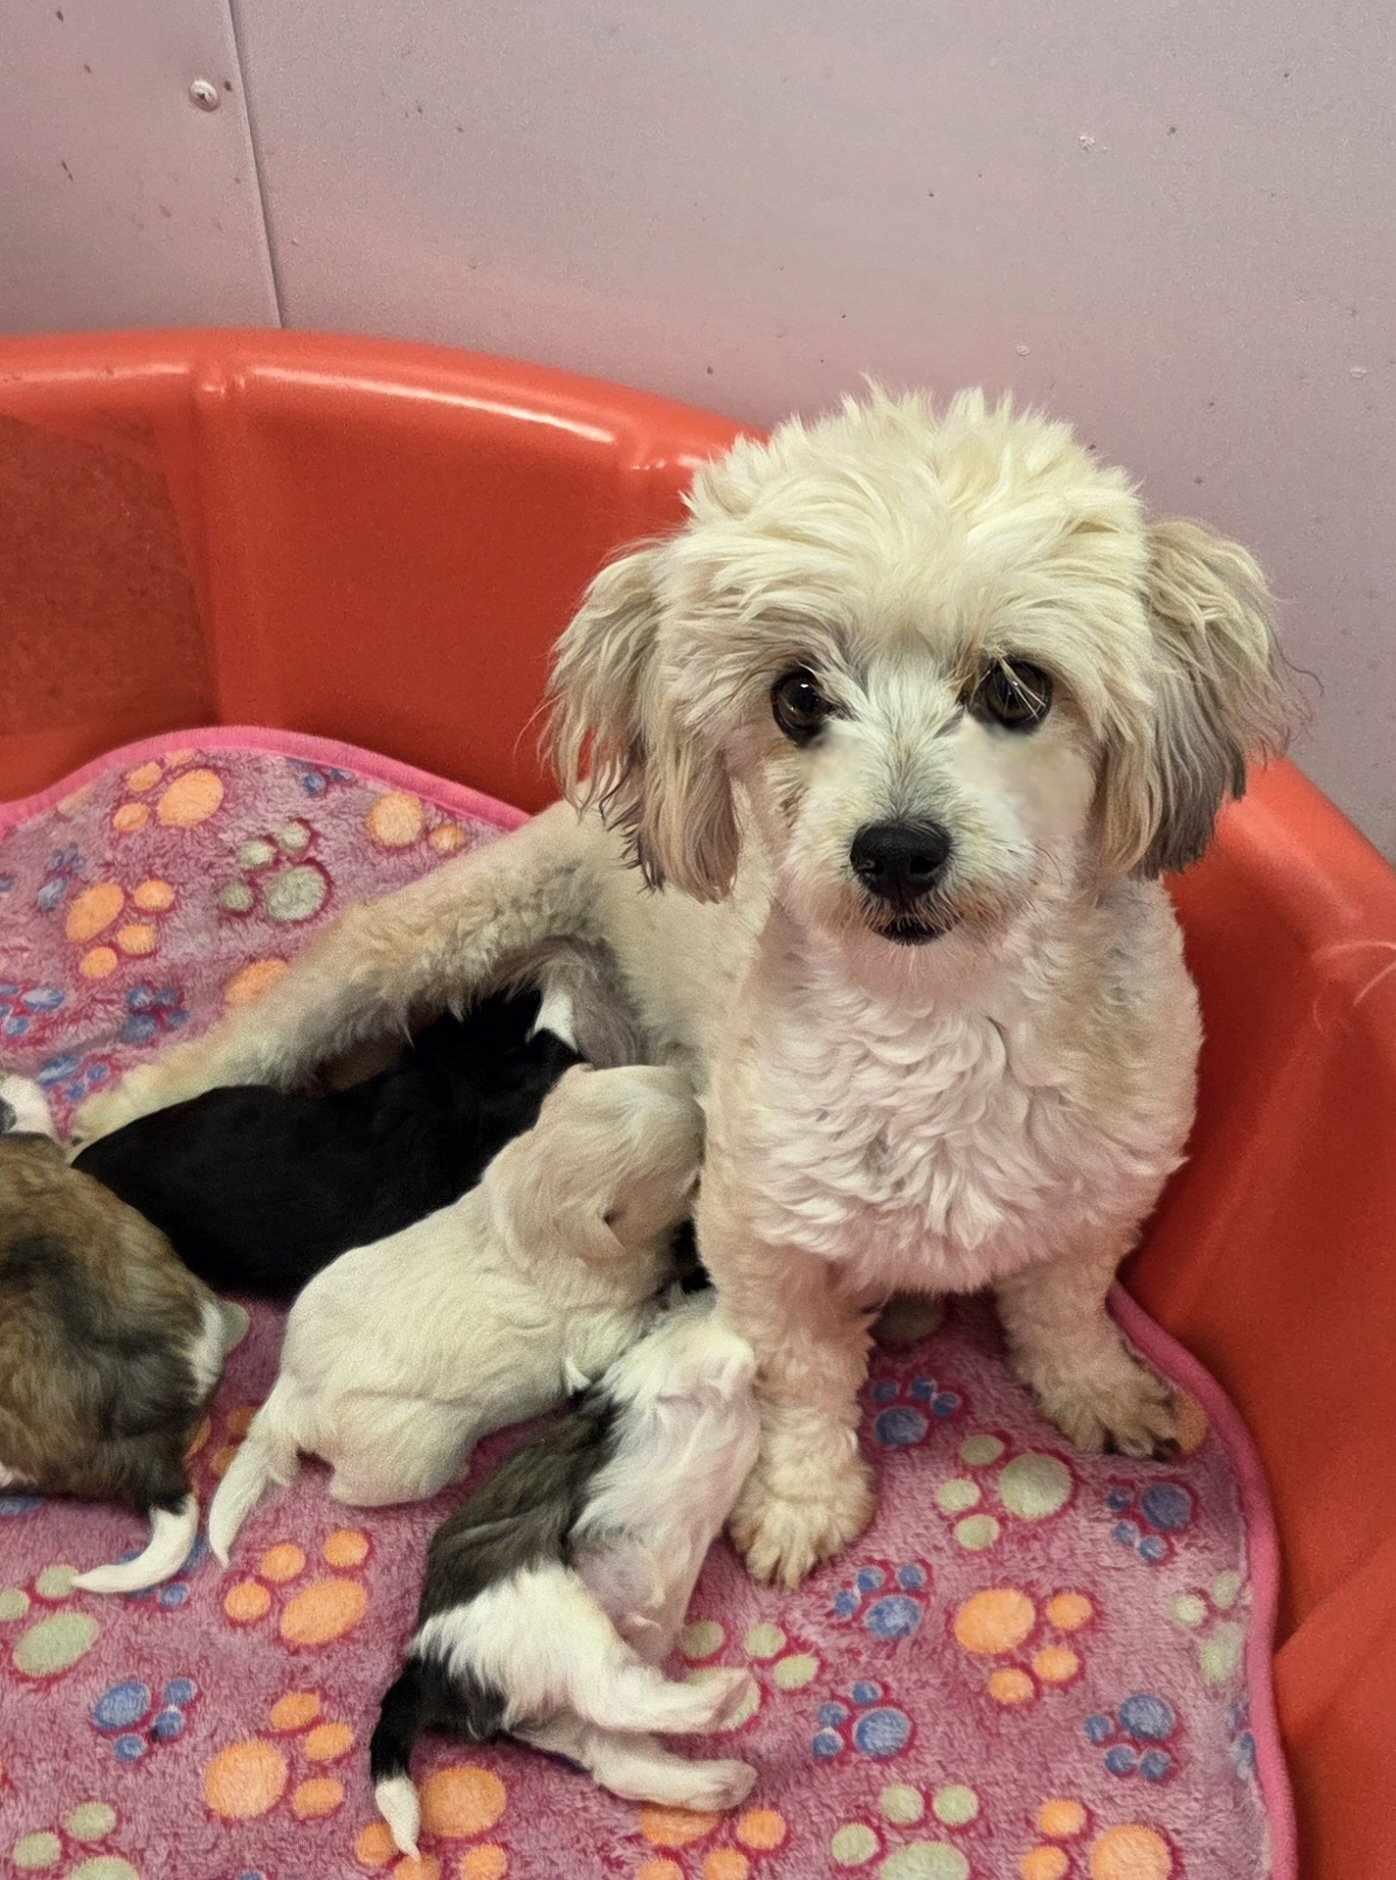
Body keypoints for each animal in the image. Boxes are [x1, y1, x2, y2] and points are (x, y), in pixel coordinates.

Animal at [207, 1063, 703, 1560]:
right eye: (694, 1178)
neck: (530, 1208)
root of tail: (291, 1393)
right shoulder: (598, 1332)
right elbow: (640, 1314)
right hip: (410, 1456)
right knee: (350, 1490)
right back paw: (457, 1471)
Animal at [371, 1292, 759, 1854]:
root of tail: (427, 1663)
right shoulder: (678, 1363)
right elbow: (734, 1349)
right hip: (547, 1605)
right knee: (612, 1693)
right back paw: (721, 1698)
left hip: (559, 1695)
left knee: (616, 1754)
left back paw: (718, 1780)